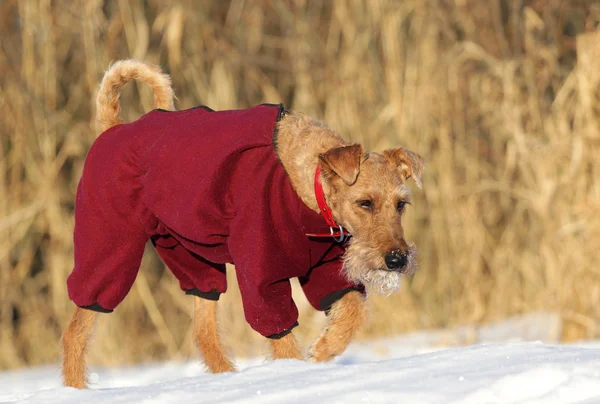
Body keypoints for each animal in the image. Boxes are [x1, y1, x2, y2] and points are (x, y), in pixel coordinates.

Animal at [62, 60, 422, 388]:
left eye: (401, 204)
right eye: (365, 203)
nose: (397, 259)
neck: (307, 187)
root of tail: (113, 128)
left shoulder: (325, 268)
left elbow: (352, 309)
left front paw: (323, 349)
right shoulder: (261, 275)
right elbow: (279, 331)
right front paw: (296, 374)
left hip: (193, 256)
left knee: (203, 329)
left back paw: (227, 380)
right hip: (110, 248)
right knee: (76, 330)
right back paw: (77, 388)